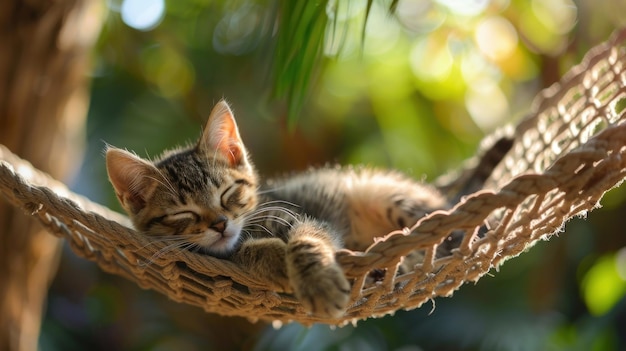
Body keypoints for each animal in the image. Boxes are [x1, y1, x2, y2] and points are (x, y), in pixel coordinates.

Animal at [108, 99, 448, 320]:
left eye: (228, 193)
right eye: (183, 214)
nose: (220, 224)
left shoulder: (303, 217)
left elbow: (305, 241)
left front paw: (317, 282)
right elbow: (246, 253)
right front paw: (276, 260)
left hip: (385, 195)